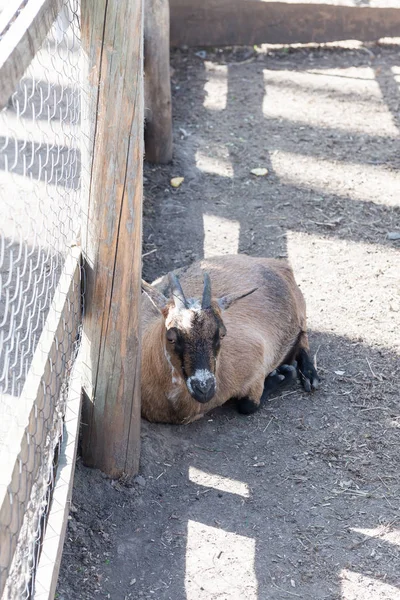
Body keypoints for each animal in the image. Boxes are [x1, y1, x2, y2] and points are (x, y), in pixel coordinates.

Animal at [141, 252, 318, 422]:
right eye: (171, 337)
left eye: (222, 334)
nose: (204, 389)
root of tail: (275, 263)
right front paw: (282, 374)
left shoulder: (256, 361)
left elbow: (249, 405)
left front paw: (283, 374)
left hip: (300, 311)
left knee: (303, 337)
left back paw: (310, 375)